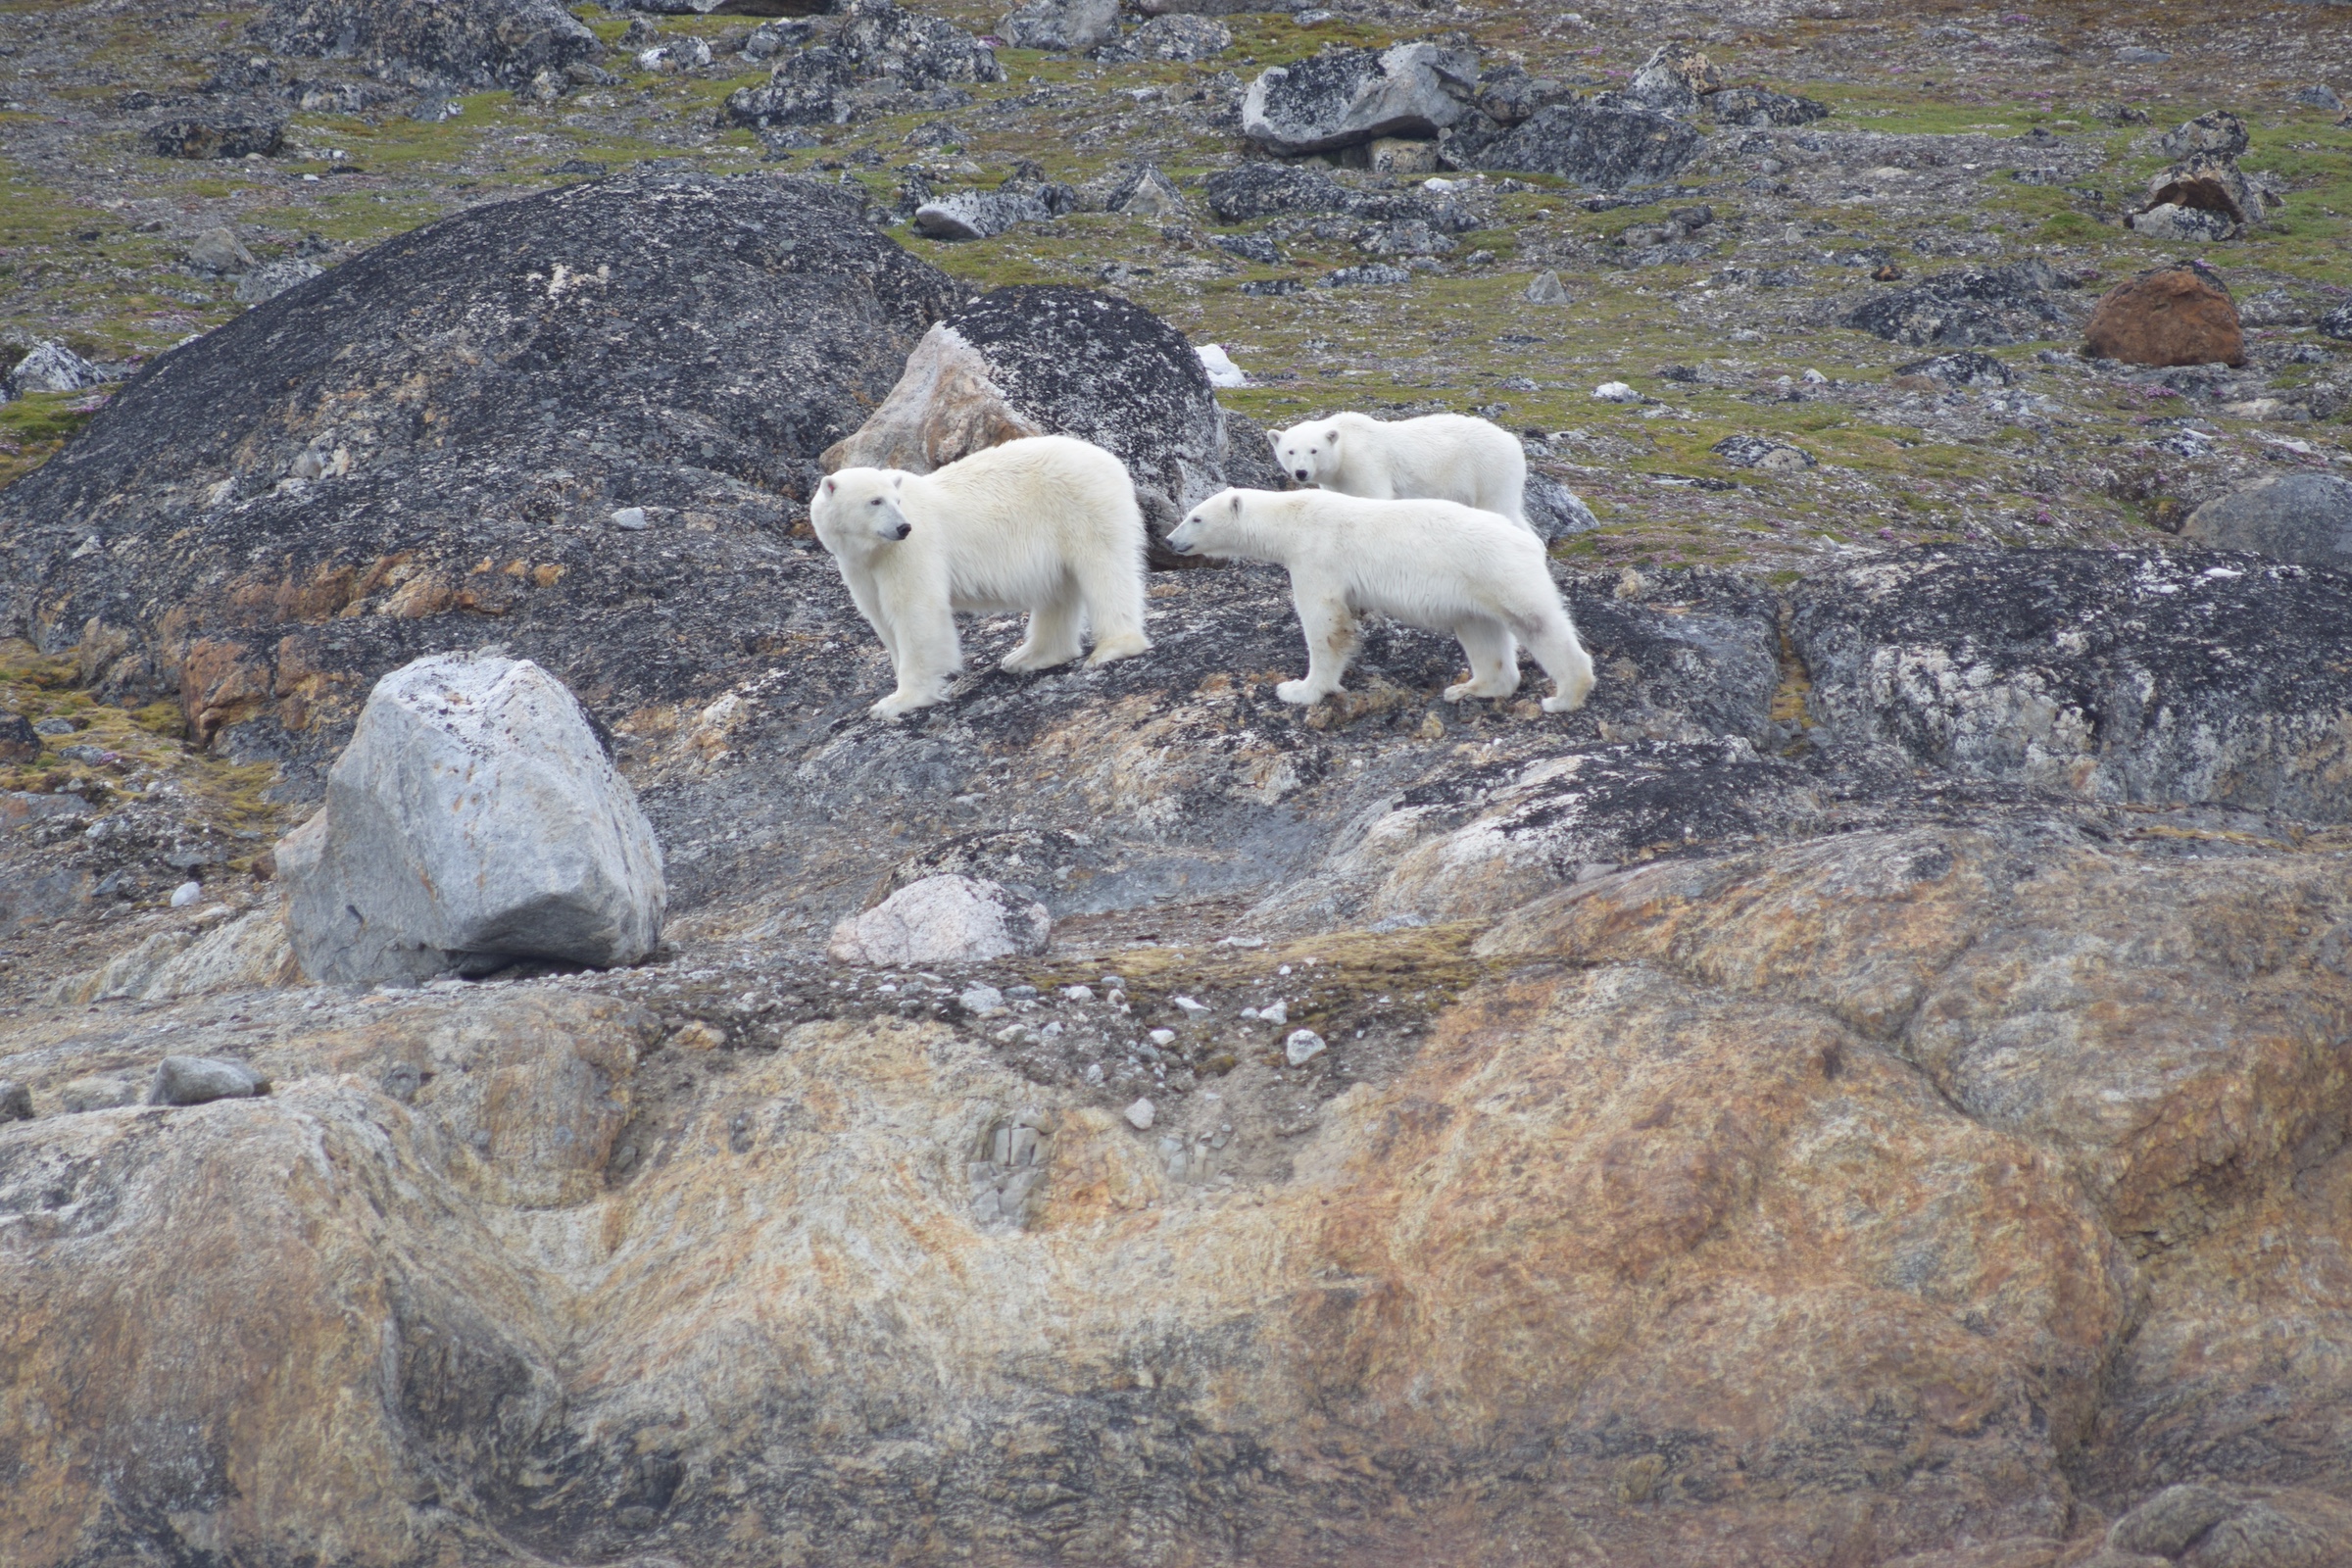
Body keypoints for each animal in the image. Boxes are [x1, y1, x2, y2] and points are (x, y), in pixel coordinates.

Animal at [811, 434, 1151, 719]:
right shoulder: (860, 565)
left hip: (1084, 506)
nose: (903, 527)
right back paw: (1029, 656)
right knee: (1057, 590)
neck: (871, 549)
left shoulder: (910, 551)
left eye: (896, 500)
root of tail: (1110, 460)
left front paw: (897, 701)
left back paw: (1113, 648)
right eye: (874, 501)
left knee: (1105, 568)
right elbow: (880, 616)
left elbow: (914, 610)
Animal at [1166, 487, 1595, 713]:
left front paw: (1299, 690)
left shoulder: (1316, 557)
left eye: (1196, 517)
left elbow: (1325, 624)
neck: (1292, 518)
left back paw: (1564, 697)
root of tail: (1528, 541)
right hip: (1472, 590)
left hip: (1501, 571)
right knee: (1480, 631)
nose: (1170, 540)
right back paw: (1469, 688)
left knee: (1538, 623)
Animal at [1268, 411, 1531, 527]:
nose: (1301, 473)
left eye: (1314, 450)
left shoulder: (1366, 464)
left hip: (1490, 470)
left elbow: (1374, 498)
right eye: (1290, 451)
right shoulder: (1336, 480)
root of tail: (1513, 443)